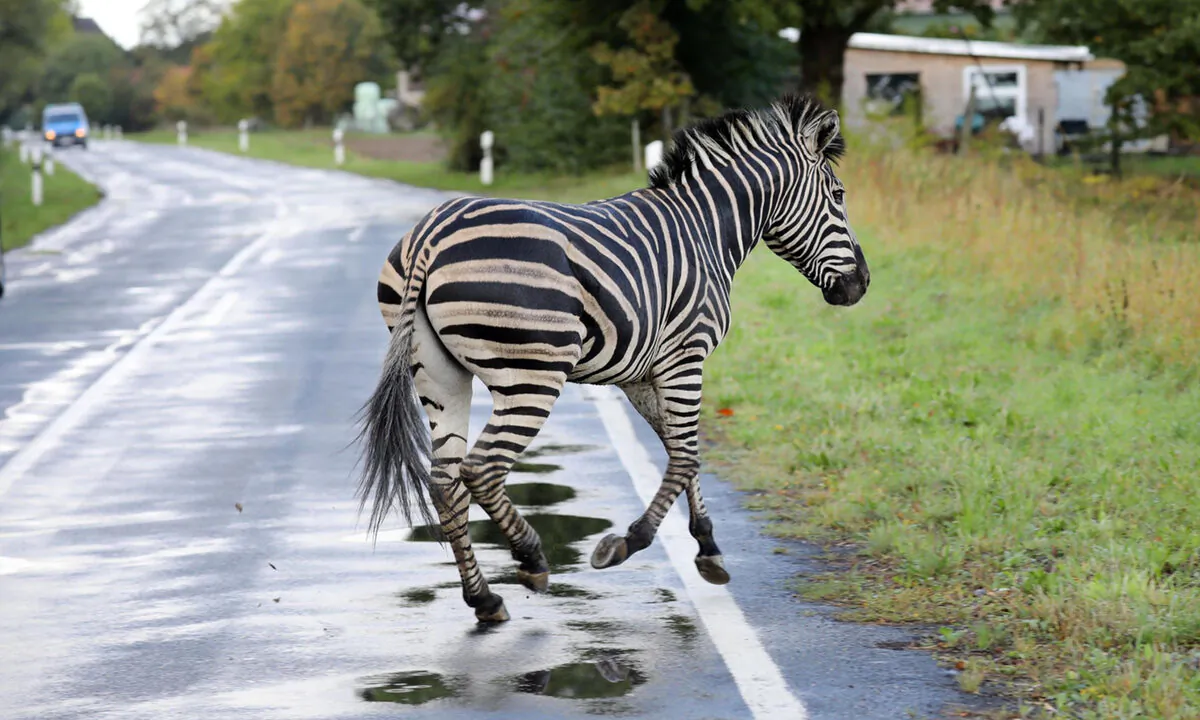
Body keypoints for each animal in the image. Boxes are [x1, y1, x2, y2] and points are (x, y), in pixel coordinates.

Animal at [358, 93, 869, 623]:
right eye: (839, 195)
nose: (862, 285)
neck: (706, 229)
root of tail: (431, 234)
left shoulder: (641, 374)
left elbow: (680, 449)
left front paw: (708, 548)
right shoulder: (686, 356)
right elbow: (685, 455)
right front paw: (628, 542)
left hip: (439, 374)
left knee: (444, 481)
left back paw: (484, 598)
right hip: (531, 375)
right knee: (480, 469)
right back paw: (531, 558)